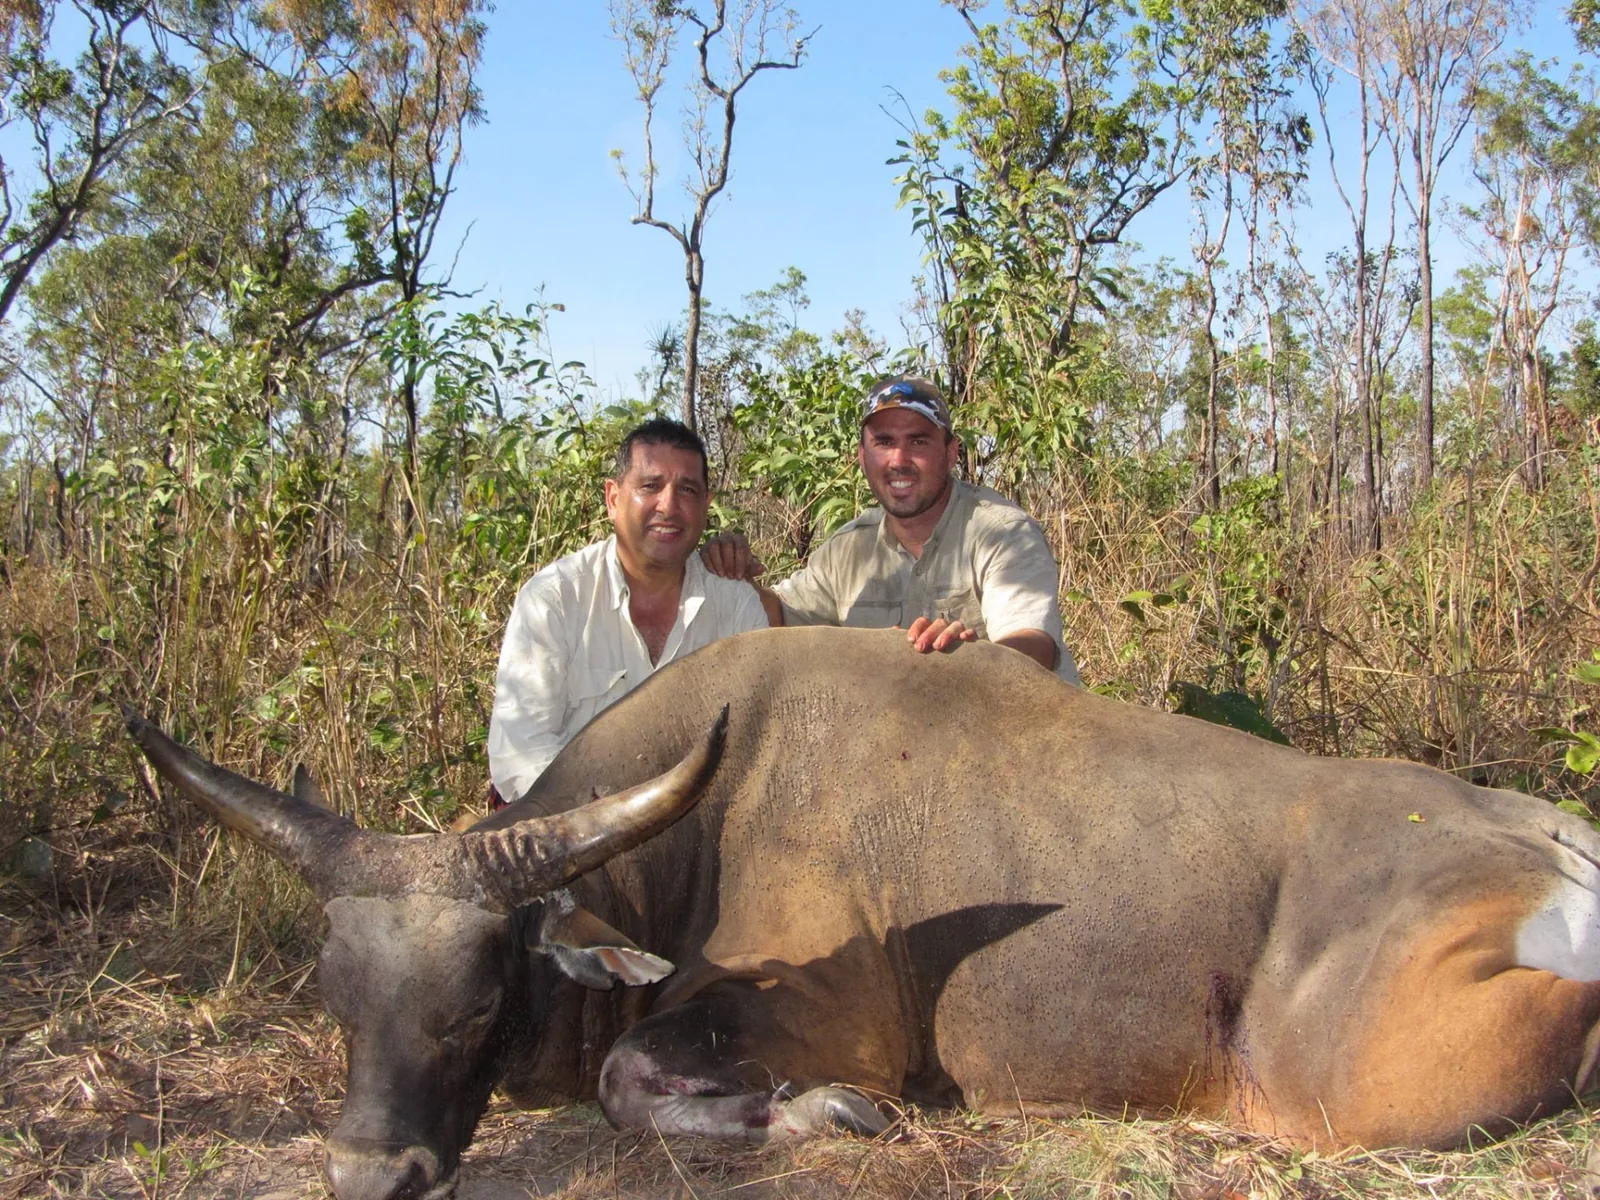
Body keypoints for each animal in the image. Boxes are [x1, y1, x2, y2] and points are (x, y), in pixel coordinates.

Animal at [125, 626, 1600, 1200]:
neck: (703, 821)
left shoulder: (817, 1020)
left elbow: (632, 1076)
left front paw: (819, 1120)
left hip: (1353, 1078)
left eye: (480, 997)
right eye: (338, 999)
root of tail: (1543, 832)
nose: (370, 1171)